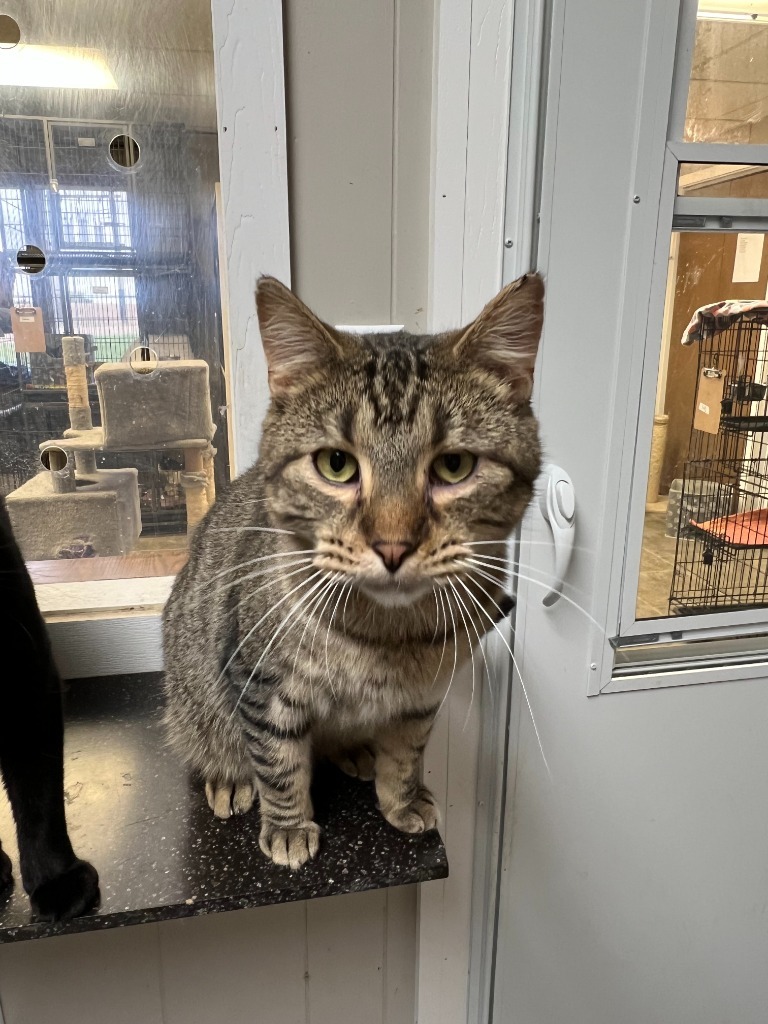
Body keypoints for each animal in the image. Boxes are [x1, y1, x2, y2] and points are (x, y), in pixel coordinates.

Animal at [164, 270, 544, 864]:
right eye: (336, 465)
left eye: (454, 466)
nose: (392, 546)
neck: (386, 638)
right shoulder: (260, 684)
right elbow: (278, 762)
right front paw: (289, 824)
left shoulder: (421, 699)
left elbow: (405, 755)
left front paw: (401, 798)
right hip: (193, 694)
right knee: (216, 740)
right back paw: (229, 778)